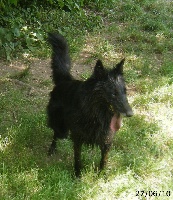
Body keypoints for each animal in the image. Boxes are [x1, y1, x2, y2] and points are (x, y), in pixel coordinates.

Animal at [46, 32, 133, 177]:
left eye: (124, 92)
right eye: (113, 93)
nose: (130, 114)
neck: (95, 114)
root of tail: (65, 80)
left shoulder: (107, 140)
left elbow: (103, 160)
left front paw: (101, 176)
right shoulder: (77, 138)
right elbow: (78, 159)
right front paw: (77, 175)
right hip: (61, 127)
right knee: (55, 135)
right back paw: (51, 149)